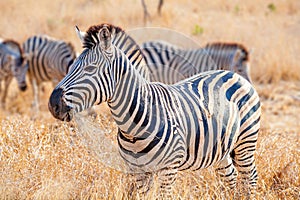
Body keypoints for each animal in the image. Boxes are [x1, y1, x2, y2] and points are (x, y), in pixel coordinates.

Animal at [48, 23, 260, 198]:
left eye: (90, 69)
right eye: (71, 67)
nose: (53, 104)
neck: (133, 127)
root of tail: (231, 74)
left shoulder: (169, 169)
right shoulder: (138, 171)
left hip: (245, 142)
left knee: (250, 178)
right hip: (221, 150)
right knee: (230, 178)